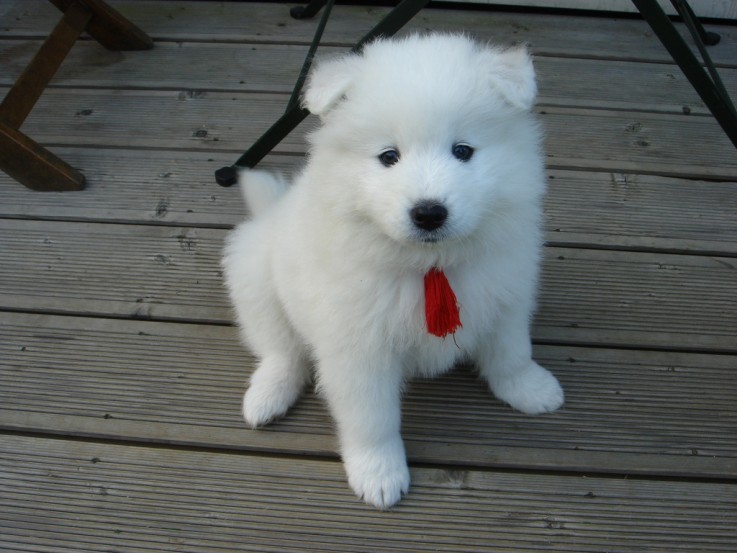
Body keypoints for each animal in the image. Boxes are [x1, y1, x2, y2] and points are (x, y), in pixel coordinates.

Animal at [223, 33, 564, 508]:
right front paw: (379, 473)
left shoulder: (506, 295)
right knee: (280, 350)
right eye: (388, 157)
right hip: (254, 278)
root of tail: (270, 212)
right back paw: (267, 397)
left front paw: (531, 389)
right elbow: (372, 418)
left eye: (463, 151)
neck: (429, 265)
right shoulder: (358, 348)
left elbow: (511, 353)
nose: (429, 213)